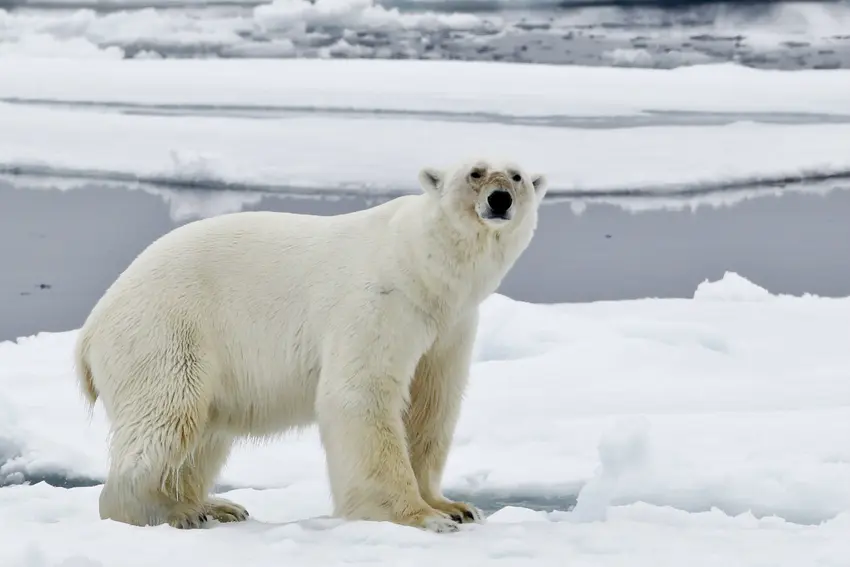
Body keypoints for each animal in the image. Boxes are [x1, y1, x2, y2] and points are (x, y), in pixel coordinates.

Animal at [74, 157, 548, 533]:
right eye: (476, 172)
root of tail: (91, 327)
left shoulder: (449, 327)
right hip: (167, 332)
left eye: (518, 176)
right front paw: (420, 516)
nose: (500, 199)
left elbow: (431, 405)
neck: (421, 265)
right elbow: (360, 395)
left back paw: (214, 505)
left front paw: (454, 507)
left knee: (201, 433)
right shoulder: (380, 302)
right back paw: (168, 511)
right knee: (169, 416)